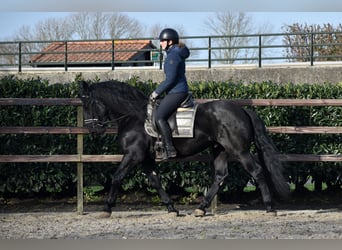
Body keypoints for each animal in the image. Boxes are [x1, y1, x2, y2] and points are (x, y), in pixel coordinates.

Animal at [80, 80, 292, 217]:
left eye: (87, 103)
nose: (93, 130)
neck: (133, 117)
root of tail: (242, 110)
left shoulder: (133, 155)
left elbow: (117, 177)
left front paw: (107, 208)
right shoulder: (146, 159)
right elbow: (156, 181)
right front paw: (172, 208)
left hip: (239, 151)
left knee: (256, 171)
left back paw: (269, 207)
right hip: (220, 150)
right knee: (220, 176)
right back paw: (201, 208)